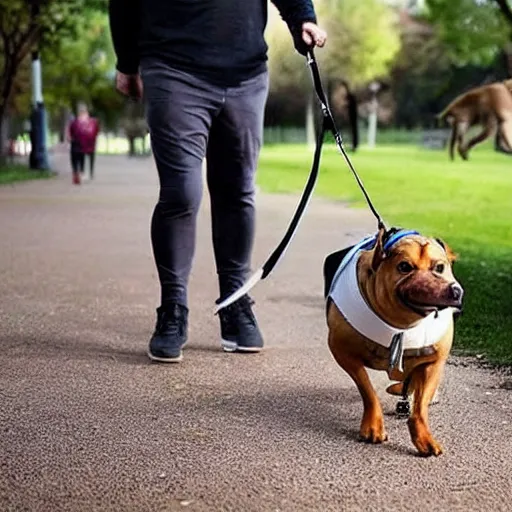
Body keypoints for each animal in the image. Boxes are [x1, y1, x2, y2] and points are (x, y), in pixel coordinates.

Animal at [324, 228, 464, 456]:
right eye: (404, 267)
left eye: (439, 267)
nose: (455, 291)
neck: (403, 324)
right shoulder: (343, 352)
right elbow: (368, 391)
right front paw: (373, 425)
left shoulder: (434, 362)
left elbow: (420, 406)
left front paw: (423, 436)